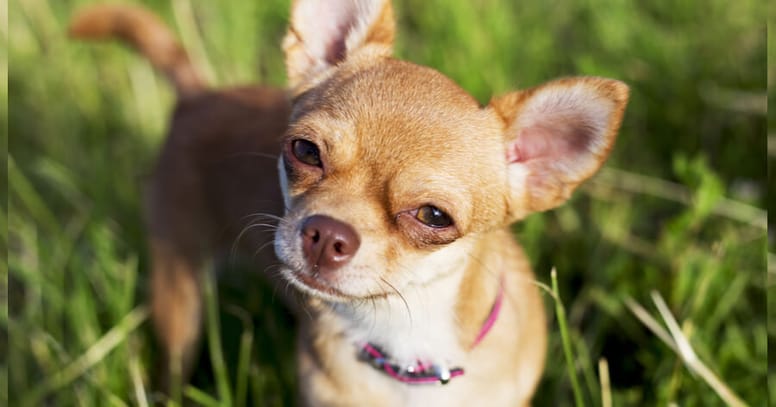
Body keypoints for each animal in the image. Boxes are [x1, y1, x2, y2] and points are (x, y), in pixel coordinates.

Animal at [71, 1, 632, 406]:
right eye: (304, 151)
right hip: (178, 288)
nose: (326, 234)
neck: (407, 347)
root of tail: (198, 95)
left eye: (434, 217)